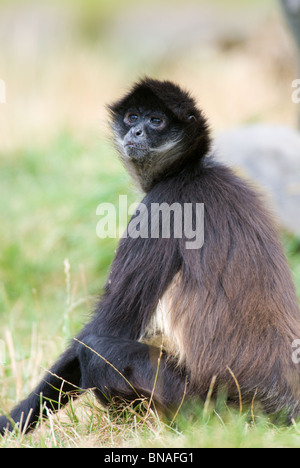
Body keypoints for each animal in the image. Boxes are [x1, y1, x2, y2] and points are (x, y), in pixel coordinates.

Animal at [0, 77, 300, 436]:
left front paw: (11, 424)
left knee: (97, 351)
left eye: (156, 121)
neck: (189, 170)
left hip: (194, 401)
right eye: (133, 116)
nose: (137, 130)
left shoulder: (160, 207)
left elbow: (100, 333)